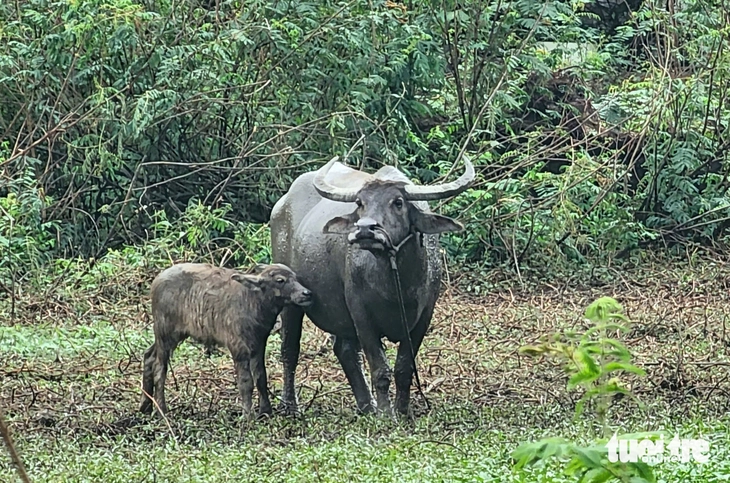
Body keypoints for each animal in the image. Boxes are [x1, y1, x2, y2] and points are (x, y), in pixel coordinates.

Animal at [139, 262, 310, 418]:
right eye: (280, 280)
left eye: (295, 277)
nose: (306, 293)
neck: (252, 300)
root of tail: (156, 281)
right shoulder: (237, 346)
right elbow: (246, 382)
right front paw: (247, 416)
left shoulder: (259, 344)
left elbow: (261, 377)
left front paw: (265, 412)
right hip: (165, 332)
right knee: (159, 368)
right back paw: (162, 411)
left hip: (172, 335)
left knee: (149, 355)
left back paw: (145, 406)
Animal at [270, 156, 474, 416]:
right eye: (360, 203)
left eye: (398, 202)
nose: (366, 229)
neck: (395, 284)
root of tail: (281, 206)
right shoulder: (361, 313)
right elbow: (380, 369)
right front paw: (386, 414)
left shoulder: (424, 316)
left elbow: (404, 368)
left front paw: (403, 412)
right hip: (291, 299)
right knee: (290, 350)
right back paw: (290, 406)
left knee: (345, 350)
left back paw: (366, 405)